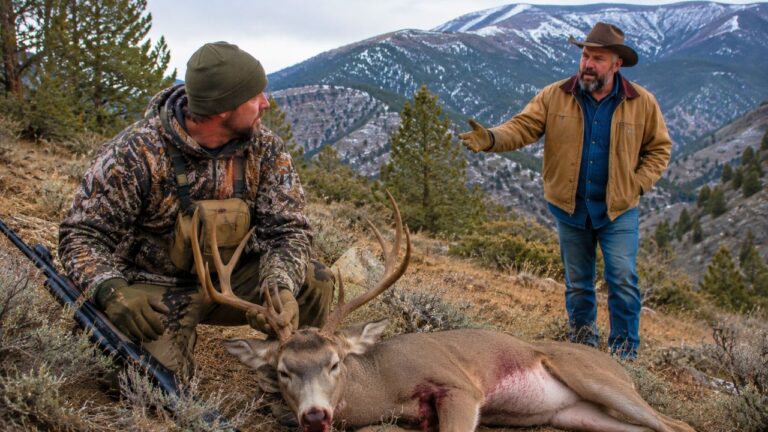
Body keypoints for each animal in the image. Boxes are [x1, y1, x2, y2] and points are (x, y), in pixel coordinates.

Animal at [190, 192, 696, 432]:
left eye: (334, 363)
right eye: (282, 371)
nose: (314, 416)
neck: (383, 385)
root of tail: (621, 367)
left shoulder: (460, 386)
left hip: (595, 377)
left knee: (679, 423)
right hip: (578, 415)